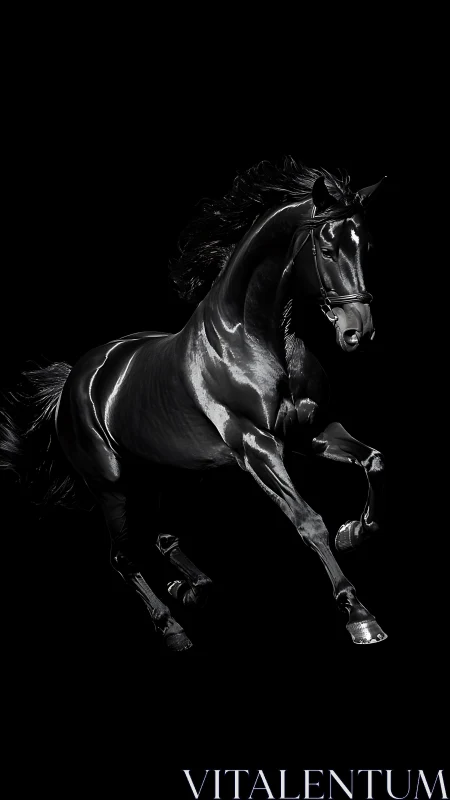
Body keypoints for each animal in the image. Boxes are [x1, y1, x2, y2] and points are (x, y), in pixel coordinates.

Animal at [0, 157, 388, 651]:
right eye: (327, 247)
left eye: (366, 245)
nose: (358, 332)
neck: (255, 338)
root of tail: (75, 380)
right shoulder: (255, 445)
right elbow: (309, 521)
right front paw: (359, 615)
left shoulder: (311, 431)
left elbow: (373, 461)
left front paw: (354, 533)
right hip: (110, 485)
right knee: (122, 558)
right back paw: (172, 628)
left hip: (166, 473)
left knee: (163, 537)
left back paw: (193, 589)